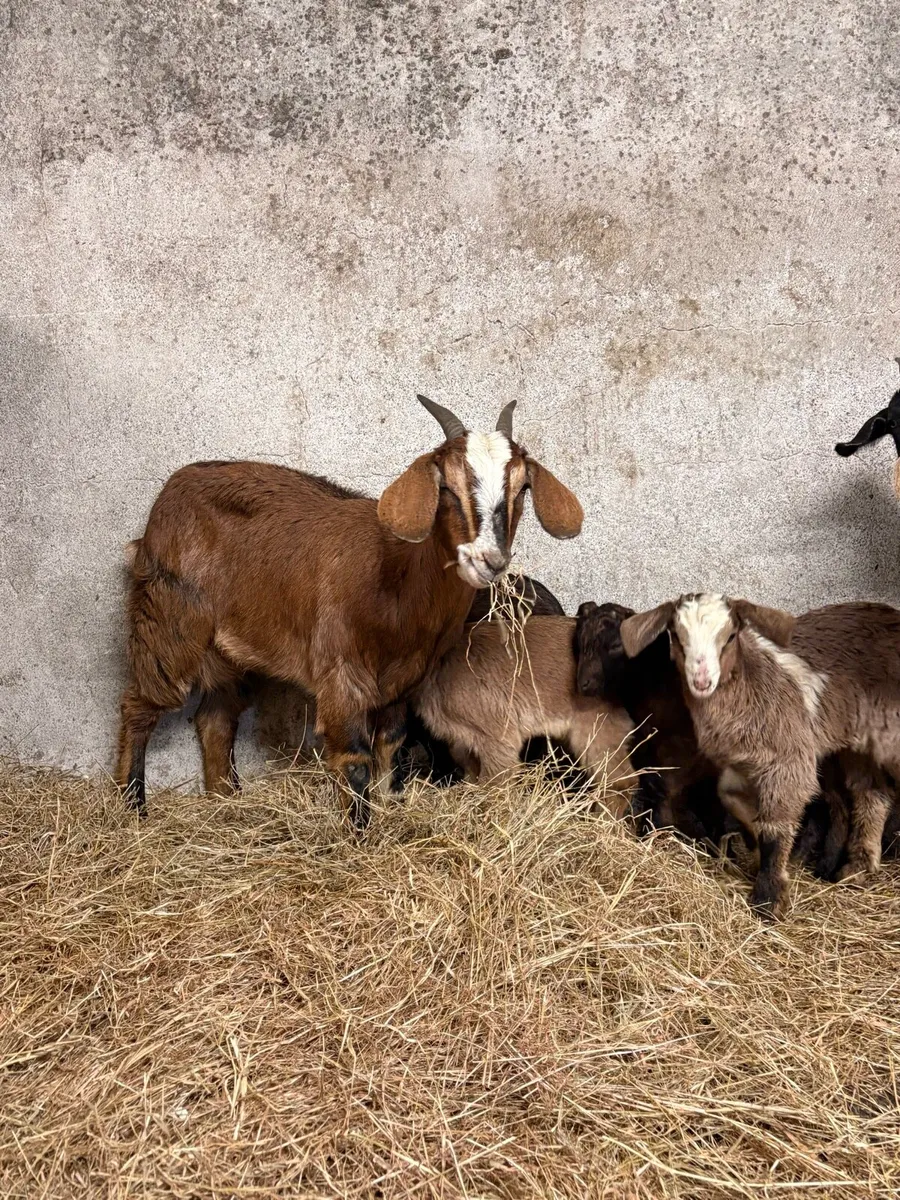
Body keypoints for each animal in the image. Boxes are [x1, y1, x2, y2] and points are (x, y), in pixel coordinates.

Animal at [116, 396, 583, 828]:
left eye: (522, 489)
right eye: (446, 487)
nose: (490, 560)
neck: (397, 578)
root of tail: (172, 489)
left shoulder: (403, 682)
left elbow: (390, 746)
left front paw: (389, 809)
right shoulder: (341, 672)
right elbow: (355, 757)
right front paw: (360, 835)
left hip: (233, 648)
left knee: (215, 719)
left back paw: (227, 800)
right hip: (169, 621)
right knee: (140, 704)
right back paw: (132, 807)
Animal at [413, 616, 637, 813]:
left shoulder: (498, 739)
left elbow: (494, 784)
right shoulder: (463, 743)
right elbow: (473, 776)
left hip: (596, 736)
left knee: (622, 783)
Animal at [620, 595, 900, 918]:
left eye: (731, 636)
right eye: (677, 637)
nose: (702, 681)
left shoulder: (789, 759)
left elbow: (775, 829)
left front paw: (769, 897)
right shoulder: (739, 764)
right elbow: (730, 798)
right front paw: (752, 848)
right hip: (858, 743)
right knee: (872, 794)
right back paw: (858, 867)